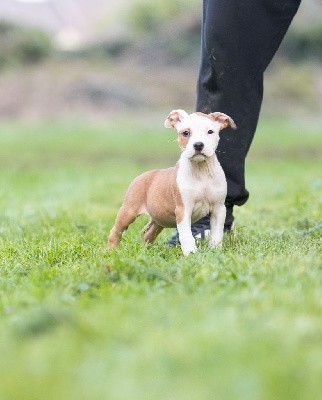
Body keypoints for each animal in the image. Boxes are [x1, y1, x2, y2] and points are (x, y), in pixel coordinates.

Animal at [108, 108, 236, 256]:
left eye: (210, 131)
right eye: (185, 133)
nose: (198, 145)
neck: (201, 170)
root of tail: (142, 175)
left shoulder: (219, 209)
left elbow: (217, 233)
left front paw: (215, 251)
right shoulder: (183, 210)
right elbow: (186, 235)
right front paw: (191, 254)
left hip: (159, 218)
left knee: (148, 234)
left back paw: (146, 252)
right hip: (128, 211)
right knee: (115, 231)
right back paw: (110, 251)